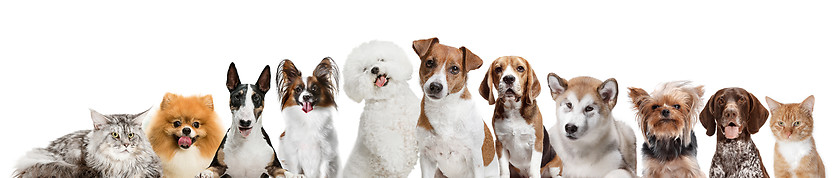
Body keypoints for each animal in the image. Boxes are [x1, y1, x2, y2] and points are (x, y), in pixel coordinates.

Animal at [342, 40, 420, 178]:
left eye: (381, 59)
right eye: (364, 69)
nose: (374, 69)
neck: (389, 99)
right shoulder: (376, 131)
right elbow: (390, 144)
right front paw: (397, 163)